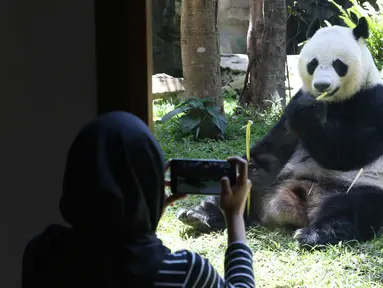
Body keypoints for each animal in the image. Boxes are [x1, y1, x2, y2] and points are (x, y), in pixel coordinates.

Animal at [178, 16, 383, 248]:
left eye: (338, 64)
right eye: (313, 63)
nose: (322, 85)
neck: (332, 101)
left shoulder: (371, 102)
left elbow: (347, 152)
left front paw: (308, 110)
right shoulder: (292, 106)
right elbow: (274, 148)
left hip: (358, 186)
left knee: (351, 207)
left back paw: (315, 234)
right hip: (270, 182)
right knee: (244, 186)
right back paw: (199, 215)